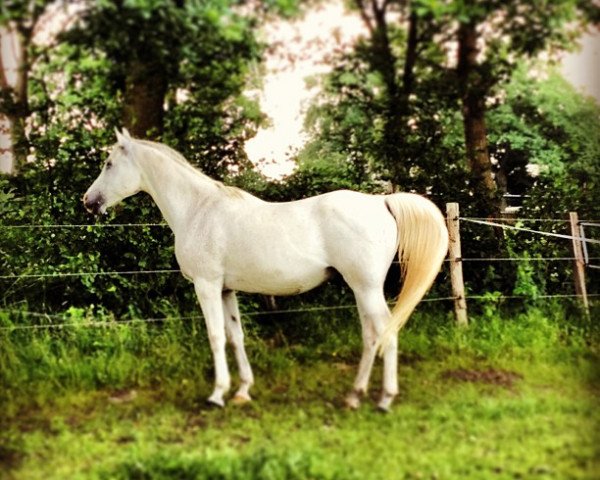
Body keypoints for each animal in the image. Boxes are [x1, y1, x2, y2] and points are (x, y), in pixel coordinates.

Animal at [85, 129, 450, 410]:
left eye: (108, 163)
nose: (88, 202)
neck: (199, 209)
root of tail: (380, 202)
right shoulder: (225, 289)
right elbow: (236, 337)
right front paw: (242, 391)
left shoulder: (206, 286)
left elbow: (216, 337)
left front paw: (217, 395)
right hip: (362, 290)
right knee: (372, 336)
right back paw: (354, 396)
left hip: (367, 288)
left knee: (386, 333)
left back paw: (384, 399)